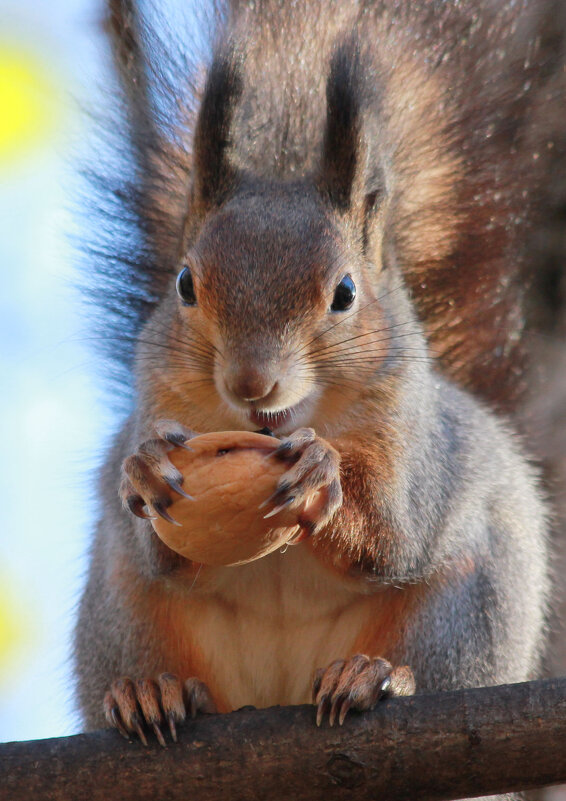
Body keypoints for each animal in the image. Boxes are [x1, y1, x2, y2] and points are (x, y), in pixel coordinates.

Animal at [72, 0, 560, 788]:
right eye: (184, 284)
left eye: (345, 293)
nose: (250, 383)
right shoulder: (159, 403)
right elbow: (164, 550)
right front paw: (143, 469)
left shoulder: (415, 446)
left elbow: (393, 535)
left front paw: (321, 474)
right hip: (122, 613)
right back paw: (152, 691)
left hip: (469, 607)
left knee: (433, 650)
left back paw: (374, 676)